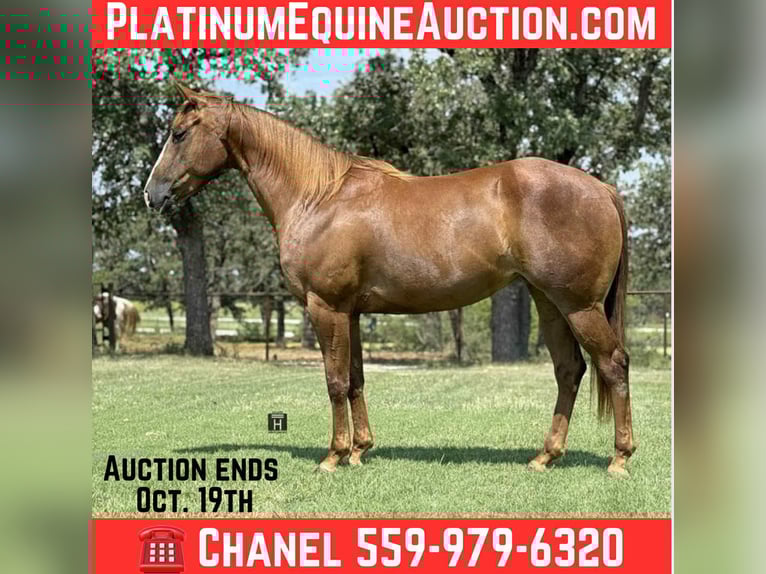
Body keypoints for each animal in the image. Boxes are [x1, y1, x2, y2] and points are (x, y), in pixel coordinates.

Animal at [143, 82, 635, 477]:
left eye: (179, 133)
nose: (152, 194)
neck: (318, 196)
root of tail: (601, 188)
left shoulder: (326, 307)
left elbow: (335, 382)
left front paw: (333, 456)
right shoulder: (351, 313)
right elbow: (356, 378)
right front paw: (361, 450)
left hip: (579, 306)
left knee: (613, 364)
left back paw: (619, 459)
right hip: (549, 302)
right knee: (569, 369)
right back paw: (545, 457)